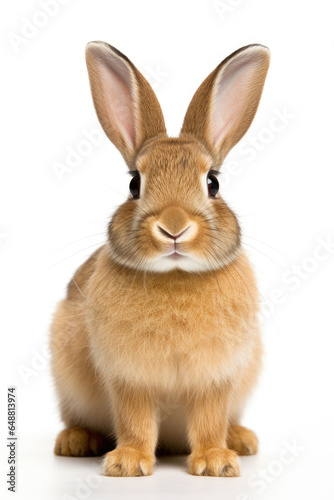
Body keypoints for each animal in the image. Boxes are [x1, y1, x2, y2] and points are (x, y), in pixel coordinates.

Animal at [50, 42, 268, 476]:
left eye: (213, 183)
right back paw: (76, 441)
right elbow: (135, 420)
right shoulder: (129, 379)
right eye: (135, 184)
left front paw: (216, 463)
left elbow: (209, 418)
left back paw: (241, 439)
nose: (174, 227)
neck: (176, 275)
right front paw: (128, 465)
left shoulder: (216, 379)